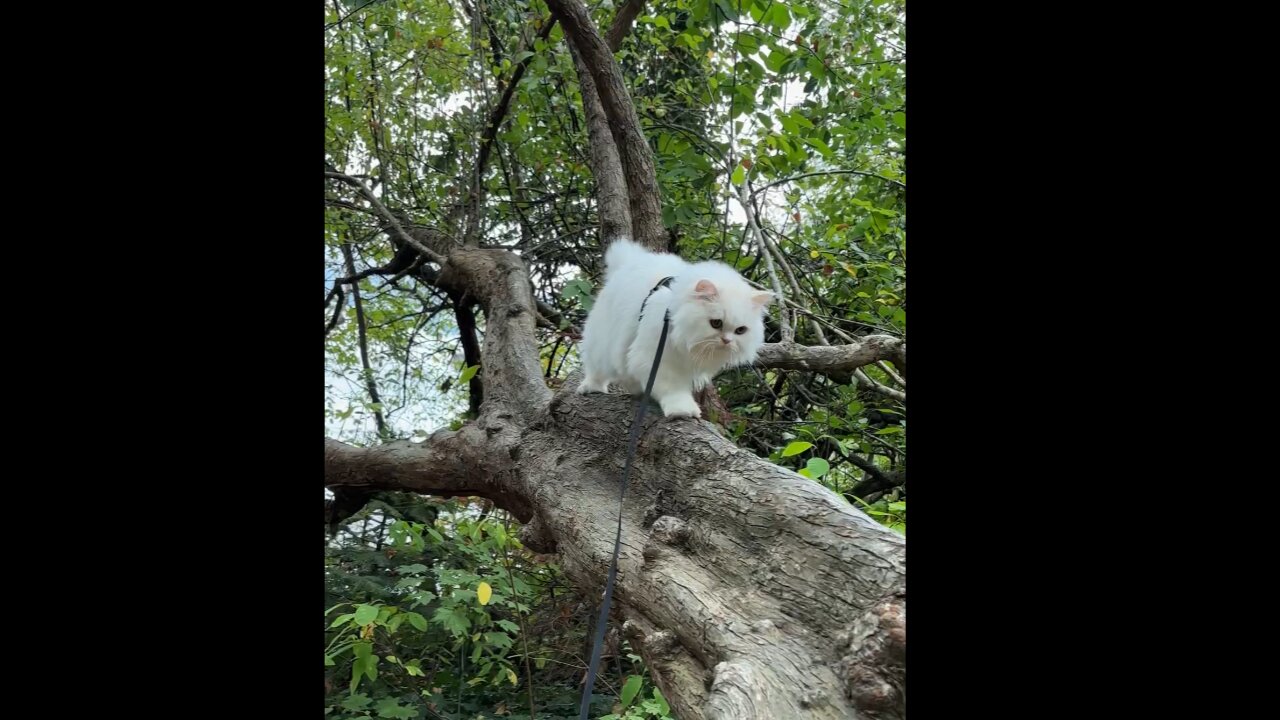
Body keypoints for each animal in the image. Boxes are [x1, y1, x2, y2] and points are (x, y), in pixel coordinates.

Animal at [578, 237, 773, 415]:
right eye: (716, 323)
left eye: (740, 330)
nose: (727, 340)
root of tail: (629, 262)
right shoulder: (657, 358)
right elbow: (672, 388)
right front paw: (682, 410)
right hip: (601, 343)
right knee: (596, 368)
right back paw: (591, 387)